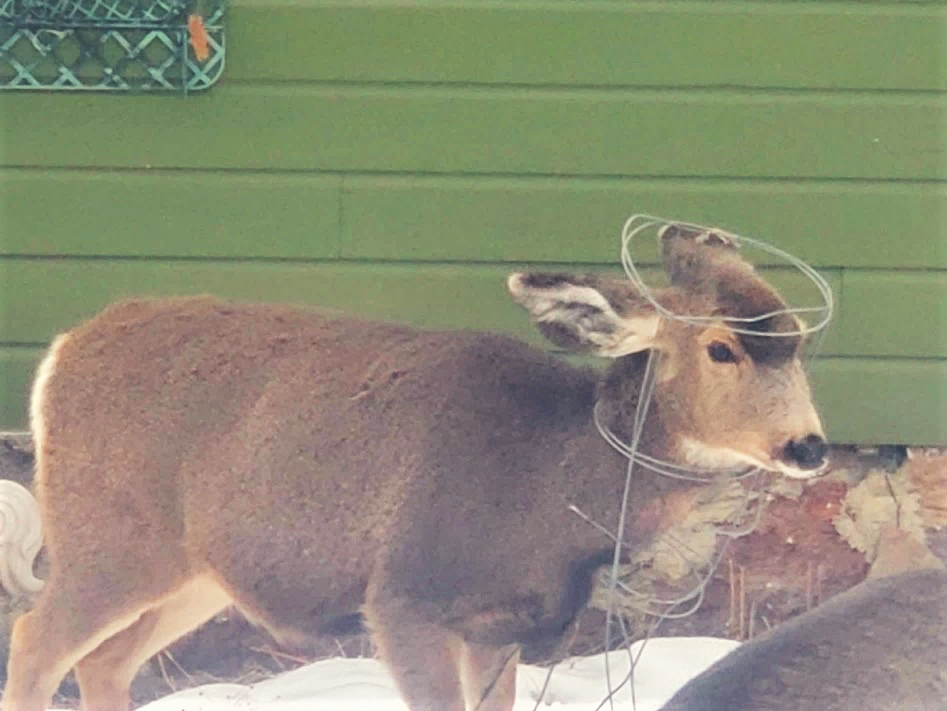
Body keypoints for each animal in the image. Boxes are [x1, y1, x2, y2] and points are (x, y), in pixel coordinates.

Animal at [3, 224, 824, 711]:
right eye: (721, 347)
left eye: (799, 343)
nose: (808, 446)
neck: (550, 479)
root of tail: (59, 355)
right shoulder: (404, 596)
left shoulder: (501, 624)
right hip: (110, 537)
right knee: (36, 641)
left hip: (197, 570)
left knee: (104, 661)